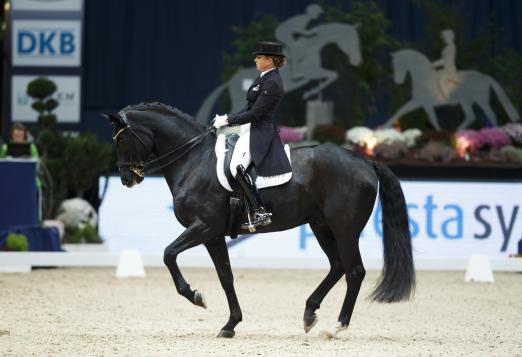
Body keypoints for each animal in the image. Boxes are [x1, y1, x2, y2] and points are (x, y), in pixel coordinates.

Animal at [104, 102, 414, 336]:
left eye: (122, 139)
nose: (126, 178)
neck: (193, 161)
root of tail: (365, 161)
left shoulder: (204, 226)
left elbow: (169, 254)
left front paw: (195, 296)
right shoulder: (213, 235)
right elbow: (225, 276)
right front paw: (230, 325)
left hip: (345, 228)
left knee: (355, 271)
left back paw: (337, 327)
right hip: (320, 225)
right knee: (337, 266)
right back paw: (309, 313)